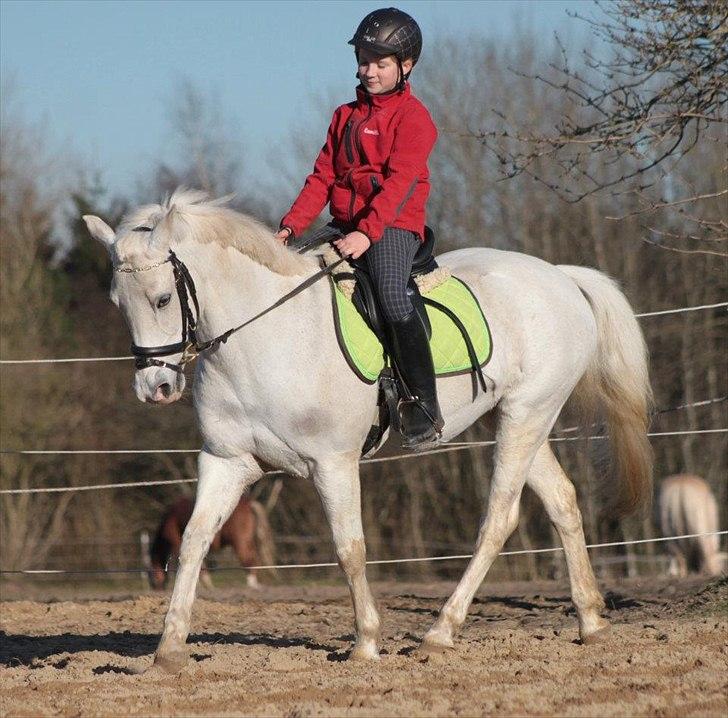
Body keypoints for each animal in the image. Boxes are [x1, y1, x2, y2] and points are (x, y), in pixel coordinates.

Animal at [83, 189, 653, 671]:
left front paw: (366, 644)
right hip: (517, 418)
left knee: (498, 519)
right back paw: (591, 621)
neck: (263, 338)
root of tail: (560, 276)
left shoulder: (332, 463)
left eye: (162, 299)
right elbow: (194, 541)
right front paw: (169, 648)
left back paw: (441, 632)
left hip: (526, 414)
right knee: (562, 502)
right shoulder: (228, 462)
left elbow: (349, 548)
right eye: (116, 302)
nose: (155, 387)